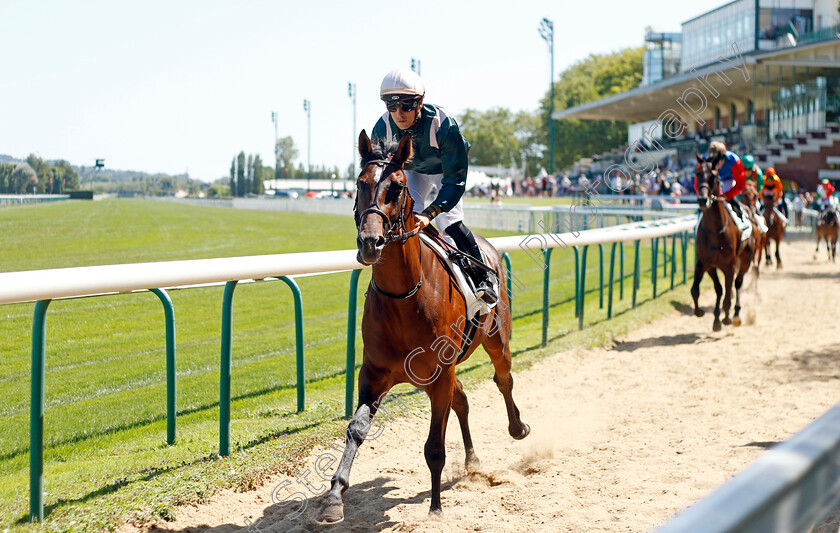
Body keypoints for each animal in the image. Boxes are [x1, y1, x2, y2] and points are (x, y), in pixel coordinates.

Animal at [318, 131, 528, 520]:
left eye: (398, 187)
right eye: (360, 183)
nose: (370, 242)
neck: (404, 298)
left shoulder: (438, 374)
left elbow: (434, 447)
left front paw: (435, 508)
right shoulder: (375, 373)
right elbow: (356, 429)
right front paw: (334, 497)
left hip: (496, 338)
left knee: (503, 378)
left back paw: (517, 427)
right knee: (462, 400)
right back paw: (472, 462)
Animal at [692, 152, 756, 330]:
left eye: (713, 176)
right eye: (697, 173)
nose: (703, 200)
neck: (714, 231)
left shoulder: (730, 264)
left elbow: (727, 291)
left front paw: (725, 317)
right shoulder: (706, 263)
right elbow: (708, 289)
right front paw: (708, 316)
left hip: (746, 259)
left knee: (737, 283)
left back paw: (735, 314)